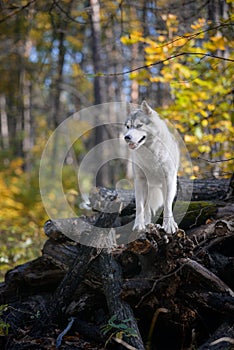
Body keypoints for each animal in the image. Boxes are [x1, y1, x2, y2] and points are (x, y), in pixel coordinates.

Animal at [124, 100, 179, 234]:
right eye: (128, 127)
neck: (150, 152)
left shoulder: (168, 180)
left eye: (139, 125)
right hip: (148, 189)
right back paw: (147, 224)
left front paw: (169, 226)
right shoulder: (139, 181)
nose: (126, 137)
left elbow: (167, 206)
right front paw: (139, 226)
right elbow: (139, 207)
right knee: (147, 209)